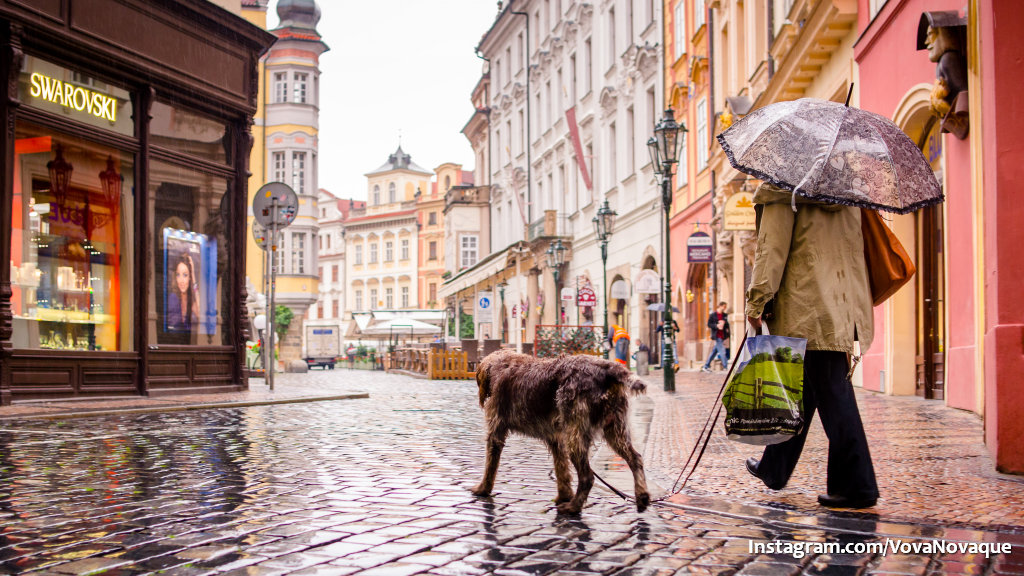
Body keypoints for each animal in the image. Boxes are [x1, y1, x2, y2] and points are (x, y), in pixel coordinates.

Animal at [468, 348, 647, 512]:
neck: (503, 364)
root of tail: (606, 368)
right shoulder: (556, 439)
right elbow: (562, 470)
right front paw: (564, 495)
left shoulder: (496, 430)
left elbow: (490, 465)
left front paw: (483, 489)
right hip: (614, 432)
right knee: (635, 459)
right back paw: (642, 497)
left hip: (575, 438)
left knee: (587, 477)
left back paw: (573, 507)